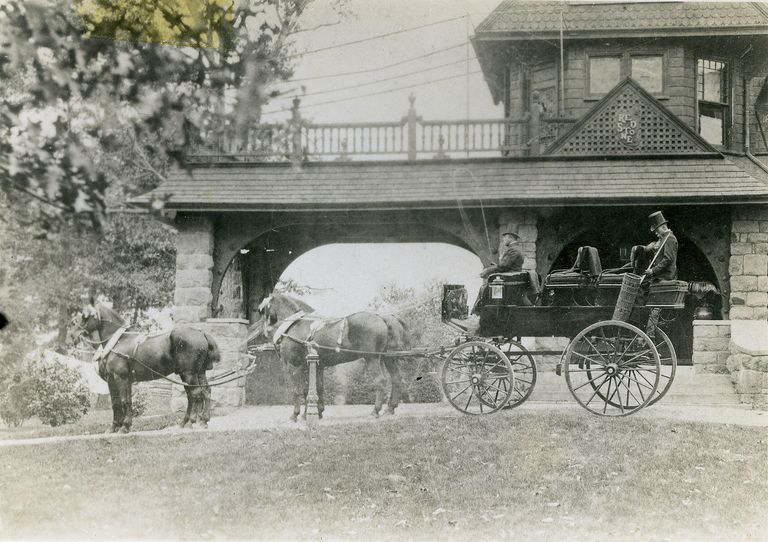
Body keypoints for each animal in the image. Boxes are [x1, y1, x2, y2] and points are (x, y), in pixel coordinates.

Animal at [70, 302, 219, 434]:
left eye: (85, 316)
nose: (72, 335)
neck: (118, 341)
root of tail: (202, 333)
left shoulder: (120, 378)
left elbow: (124, 401)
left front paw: (124, 427)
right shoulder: (114, 380)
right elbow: (117, 403)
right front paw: (115, 427)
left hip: (189, 374)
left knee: (196, 393)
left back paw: (191, 422)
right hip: (197, 373)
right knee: (203, 392)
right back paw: (200, 421)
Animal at [255, 296, 404, 422]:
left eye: (262, 311)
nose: (262, 332)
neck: (294, 325)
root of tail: (381, 317)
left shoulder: (293, 366)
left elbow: (297, 390)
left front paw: (296, 415)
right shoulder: (315, 366)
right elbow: (316, 388)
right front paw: (315, 412)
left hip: (372, 359)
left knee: (381, 381)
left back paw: (375, 411)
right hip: (387, 358)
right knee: (396, 378)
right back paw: (390, 409)